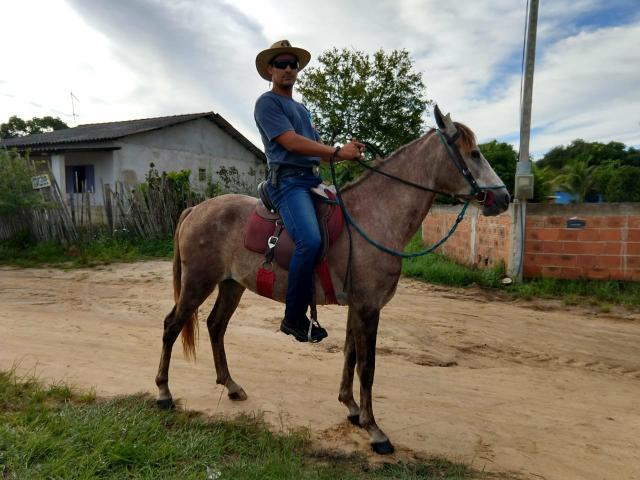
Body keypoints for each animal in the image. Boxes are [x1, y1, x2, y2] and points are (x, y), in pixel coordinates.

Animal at [155, 108, 510, 454]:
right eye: (474, 153)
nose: (504, 198)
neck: (373, 217)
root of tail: (196, 209)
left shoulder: (359, 306)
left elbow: (350, 355)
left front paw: (351, 408)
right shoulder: (368, 307)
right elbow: (367, 366)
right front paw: (374, 430)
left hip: (231, 284)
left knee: (216, 326)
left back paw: (230, 386)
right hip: (198, 283)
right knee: (172, 325)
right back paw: (164, 393)